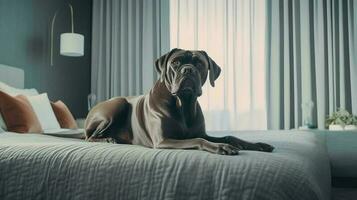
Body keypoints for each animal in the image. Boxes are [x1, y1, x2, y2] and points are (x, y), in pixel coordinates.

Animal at [85, 48, 274, 155]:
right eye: (175, 62)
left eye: (200, 63)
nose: (188, 69)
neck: (184, 104)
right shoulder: (164, 140)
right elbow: (199, 140)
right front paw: (222, 146)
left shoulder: (201, 132)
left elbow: (229, 136)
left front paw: (258, 145)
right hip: (117, 105)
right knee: (89, 137)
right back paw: (107, 139)